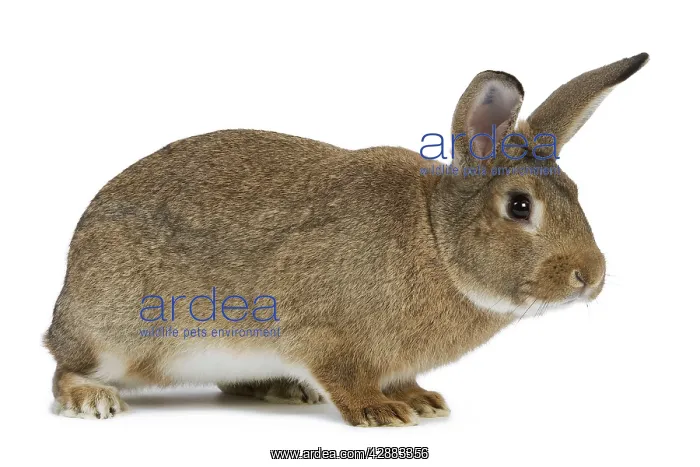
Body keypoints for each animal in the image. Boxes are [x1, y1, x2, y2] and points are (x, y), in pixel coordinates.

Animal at [44, 53, 648, 426]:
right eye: (520, 206)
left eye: (576, 191)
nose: (591, 276)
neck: (437, 239)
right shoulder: (325, 334)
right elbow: (345, 376)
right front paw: (382, 413)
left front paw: (421, 401)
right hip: (119, 333)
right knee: (64, 369)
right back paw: (92, 400)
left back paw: (283, 390)